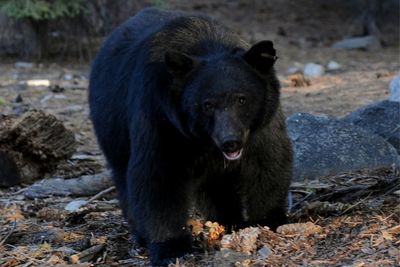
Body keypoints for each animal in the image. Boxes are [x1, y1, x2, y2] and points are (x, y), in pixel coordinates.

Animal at [89, 7, 292, 266]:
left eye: (242, 99)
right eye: (207, 105)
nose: (230, 141)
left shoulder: (261, 125)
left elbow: (267, 163)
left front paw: (269, 221)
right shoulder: (161, 117)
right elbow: (158, 176)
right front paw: (170, 248)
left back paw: (229, 220)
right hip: (112, 126)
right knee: (123, 176)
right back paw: (141, 234)